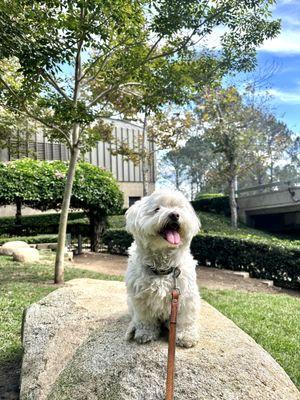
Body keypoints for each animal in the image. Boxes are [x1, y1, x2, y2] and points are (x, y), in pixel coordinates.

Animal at [125, 188, 200, 346]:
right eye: (157, 209)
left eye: (179, 208)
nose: (174, 214)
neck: (163, 267)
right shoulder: (140, 298)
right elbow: (145, 319)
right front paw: (145, 334)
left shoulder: (186, 296)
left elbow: (186, 319)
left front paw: (186, 336)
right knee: (134, 317)